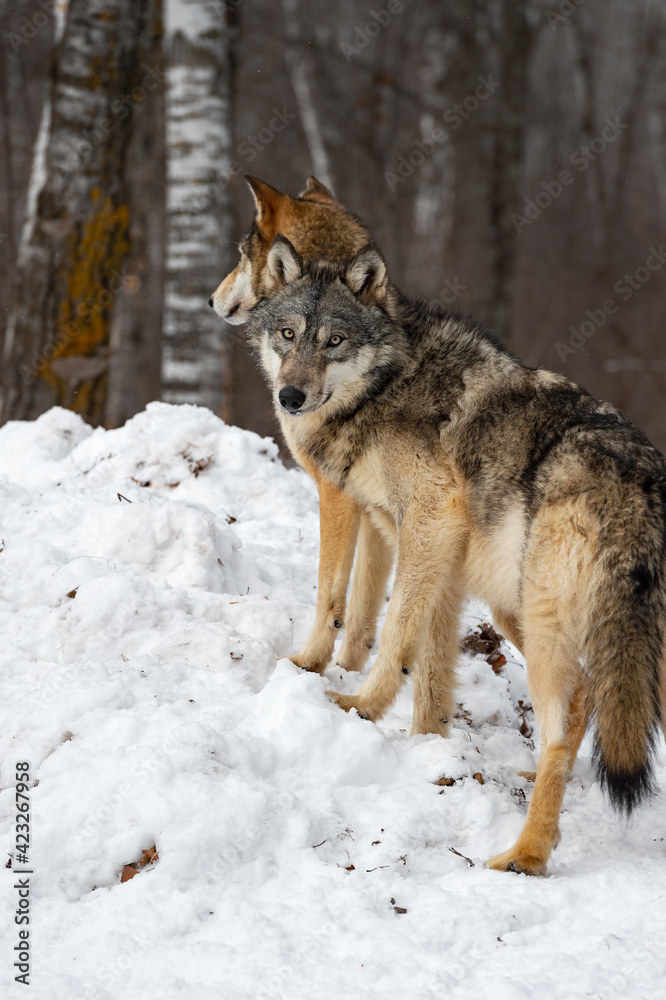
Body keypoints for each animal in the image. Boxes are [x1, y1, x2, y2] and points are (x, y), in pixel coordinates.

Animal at [243, 233, 666, 875]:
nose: (291, 396)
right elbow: (430, 666)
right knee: (588, 700)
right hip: (527, 618)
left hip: (541, 624)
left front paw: (346, 696)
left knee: (567, 721)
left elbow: (370, 618)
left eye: (334, 341)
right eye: (288, 334)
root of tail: (638, 481)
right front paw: (427, 749)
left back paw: (526, 854)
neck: (386, 385)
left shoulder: (427, 518)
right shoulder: (433, 555)